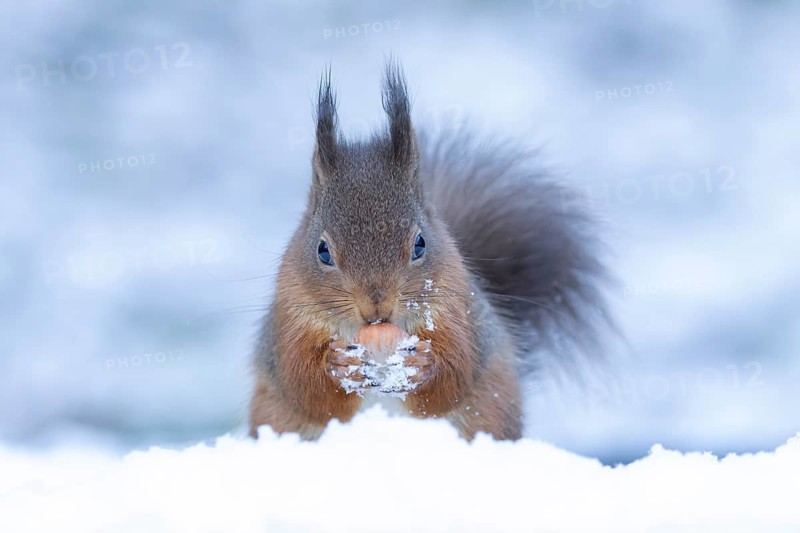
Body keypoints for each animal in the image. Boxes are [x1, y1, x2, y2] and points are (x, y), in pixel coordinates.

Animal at [249, 62, 610, 441]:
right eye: (322, 251)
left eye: (420, 244)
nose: (376, 306)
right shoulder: (289, 323)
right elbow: (303, 384)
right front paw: (336, 365)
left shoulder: (458, 314)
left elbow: (455, 373)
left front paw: (423, 365)